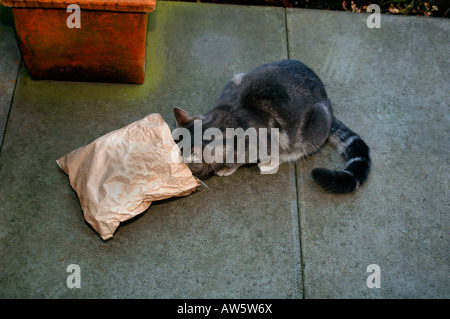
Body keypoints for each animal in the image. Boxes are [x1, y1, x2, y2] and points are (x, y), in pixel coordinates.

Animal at [172, 59, 370, 194]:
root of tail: (327, 101)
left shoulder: (261, 144)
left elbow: (237, 161)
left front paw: (226, 168)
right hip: (238, 77)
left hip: (313, 126)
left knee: (295, 152)